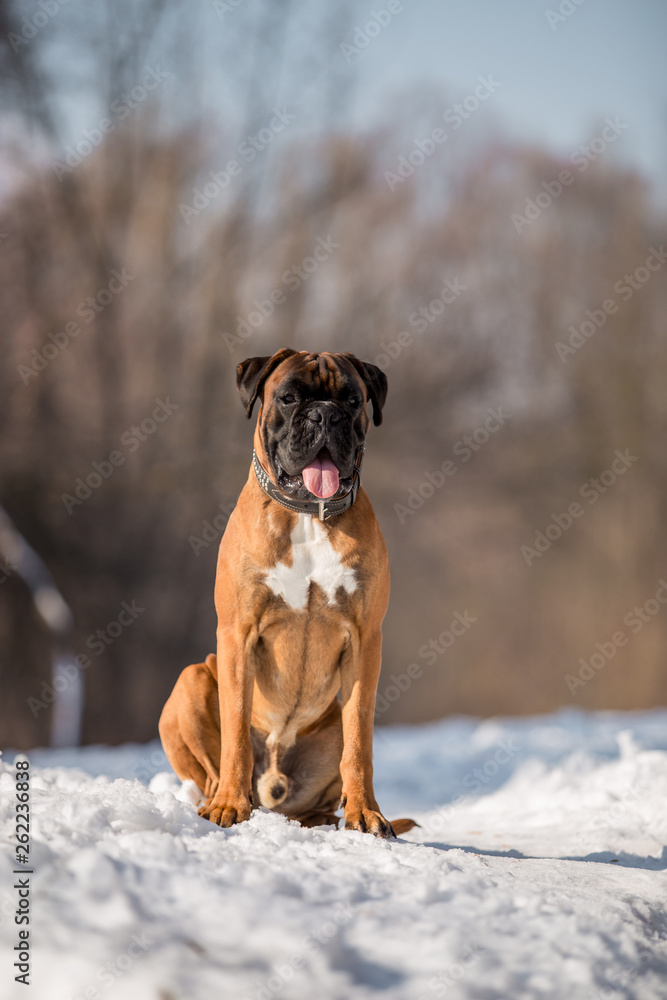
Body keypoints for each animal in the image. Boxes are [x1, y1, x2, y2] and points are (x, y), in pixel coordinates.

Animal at [160, 350, 414, 836]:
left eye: (352, 400)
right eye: (289, 397)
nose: (325, 414)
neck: (309, 515)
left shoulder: (365, 641)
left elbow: (360, 742)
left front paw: (366, 813)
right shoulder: (238, 634)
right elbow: (236, 730)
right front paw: (229, 806)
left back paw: (324, 819)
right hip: (193, 678)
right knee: (212, 771)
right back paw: (218, 801)